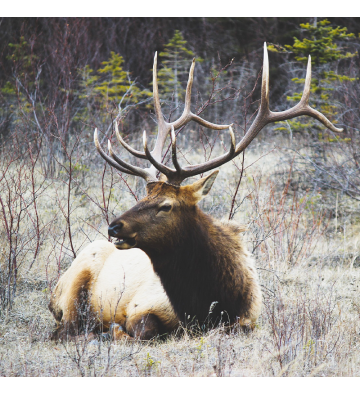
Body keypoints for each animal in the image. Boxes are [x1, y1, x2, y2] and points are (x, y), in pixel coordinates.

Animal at [49, 42, 342, 340]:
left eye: (166, 205)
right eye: (143, 196)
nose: (114, 227)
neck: (208, 303)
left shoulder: (248, 319)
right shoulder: (140, 306)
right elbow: (140, 329)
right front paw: (115, 330)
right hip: (72, 290)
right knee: (65, 329)